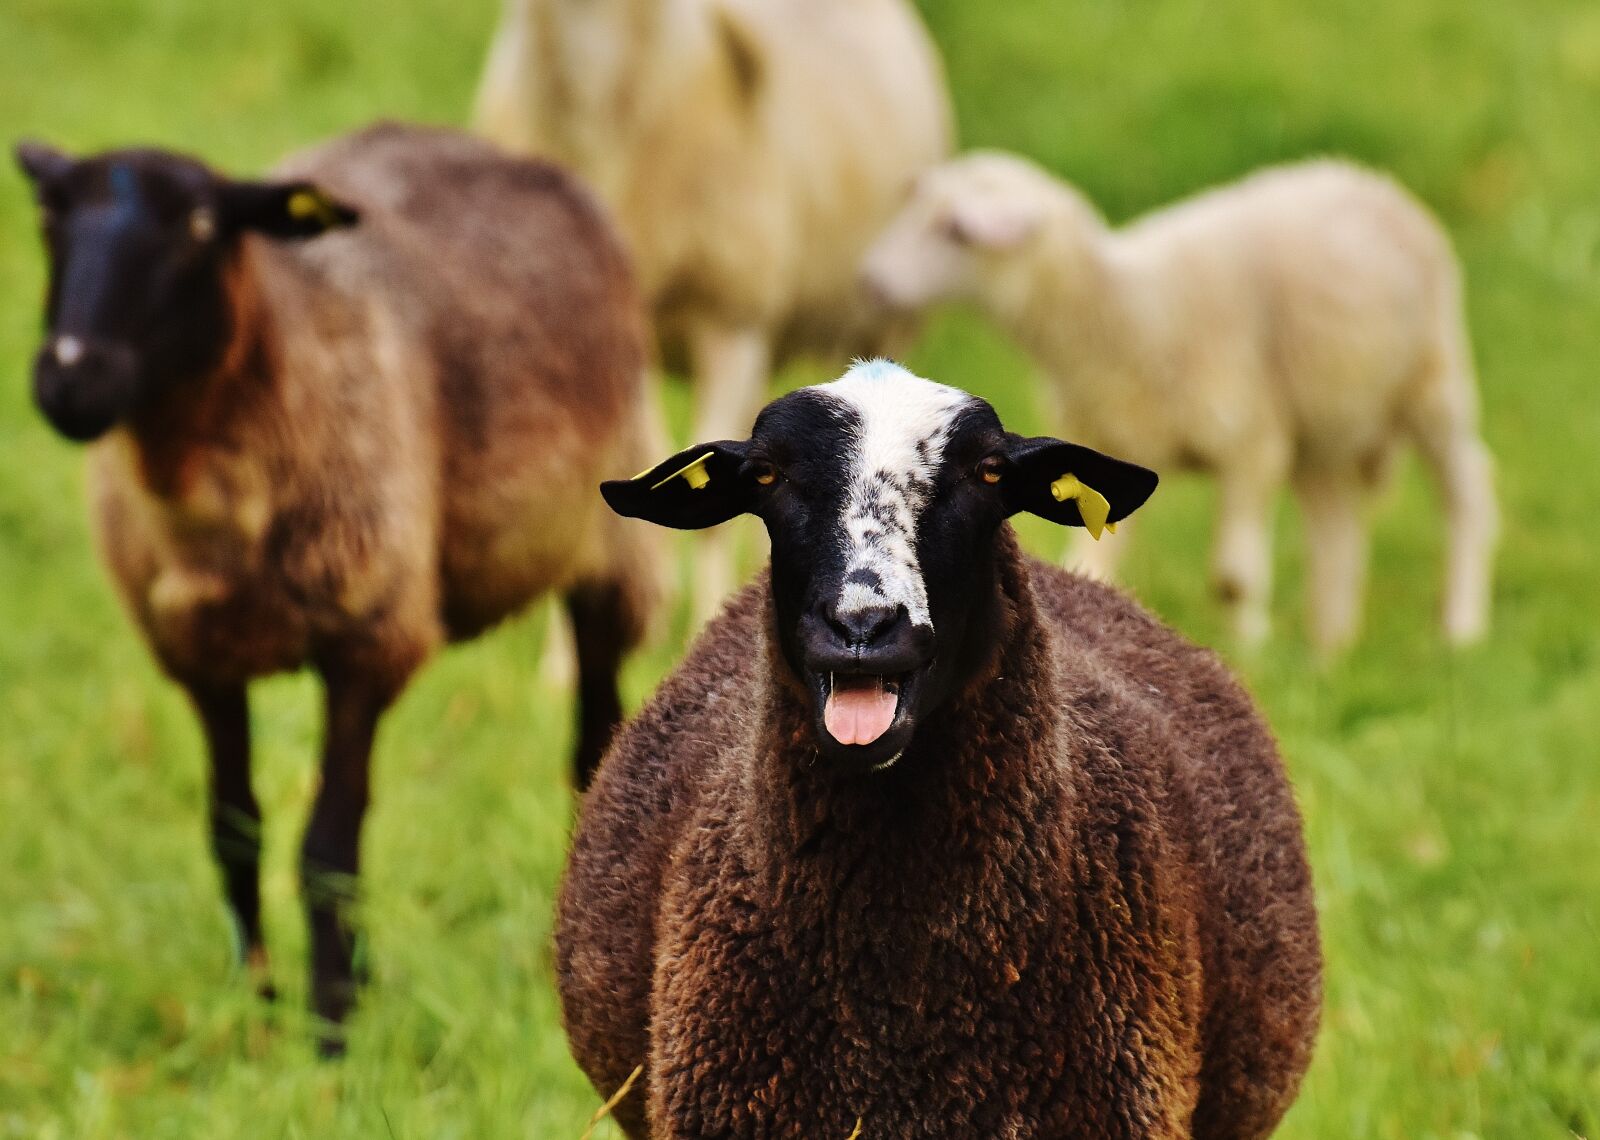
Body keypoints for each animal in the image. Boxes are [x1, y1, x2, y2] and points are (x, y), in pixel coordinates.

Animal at [14, 122, 657, 1048]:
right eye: (49, 214)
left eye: (202, 226)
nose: (72, 377)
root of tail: (490, 148)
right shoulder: (201, 657)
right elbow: (234, 829)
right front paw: (256, 1001)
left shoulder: (369, 636)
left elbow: (327, 848)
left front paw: (331, 1027)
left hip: (607, 547)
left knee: (593, 743)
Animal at [861, 153, 1499, 654]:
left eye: (954, 230)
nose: (873, 280)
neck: (1121, 309)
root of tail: (1366, 178)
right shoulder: (1113, 444)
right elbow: (1094, 562)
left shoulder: (1249, 443)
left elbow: (1234, 578)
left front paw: (1250, 653)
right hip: (1323, 423)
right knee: (1335, 524)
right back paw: (1328, 647)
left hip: (1434, 379)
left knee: (1466, 492)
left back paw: (1460, 627)